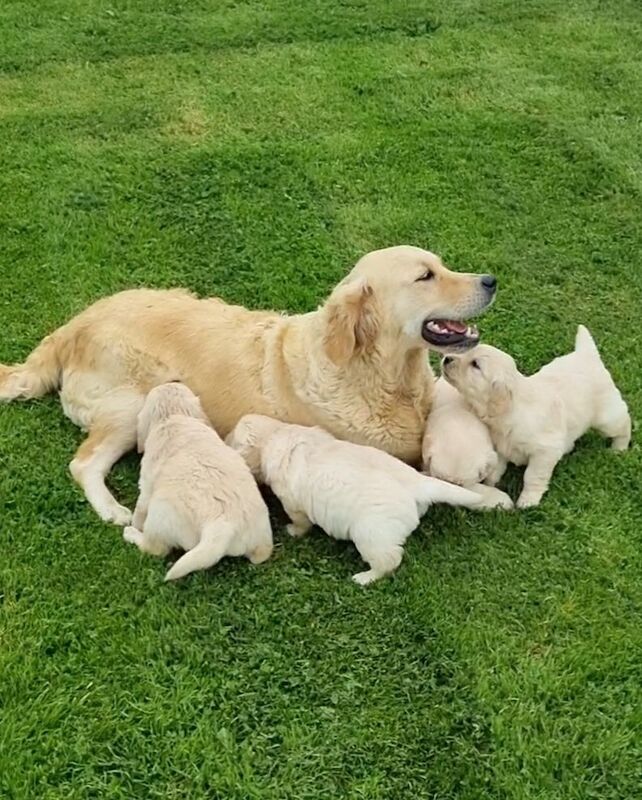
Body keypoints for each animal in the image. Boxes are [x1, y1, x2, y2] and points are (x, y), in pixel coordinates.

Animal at [0, 247, 496, 528]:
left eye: (442, 265)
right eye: (425, 276)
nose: (491, 280)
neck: (378, 375)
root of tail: (75, 323)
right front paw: (489, 495)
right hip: (131, 403)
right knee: (84, 464)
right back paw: (112, 510)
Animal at [124, 382, 272, 580]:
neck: (175, 417)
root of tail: (223, 526)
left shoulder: (147, 484)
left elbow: (140, 508)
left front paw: (134, 524)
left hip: (160, 513)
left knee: (155, 548)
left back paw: (131, 534)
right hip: (261, 533)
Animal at [442, 324, 628, 506]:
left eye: (475, 365)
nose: (446, 359)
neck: (512, 409)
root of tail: (587, 355)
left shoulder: (544, 452)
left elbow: (532, 477)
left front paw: (528, 501)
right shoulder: (501, 446)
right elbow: (497, 469)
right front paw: (490, 485)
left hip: (606, 417)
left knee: (623, 422)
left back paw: (619, 448)